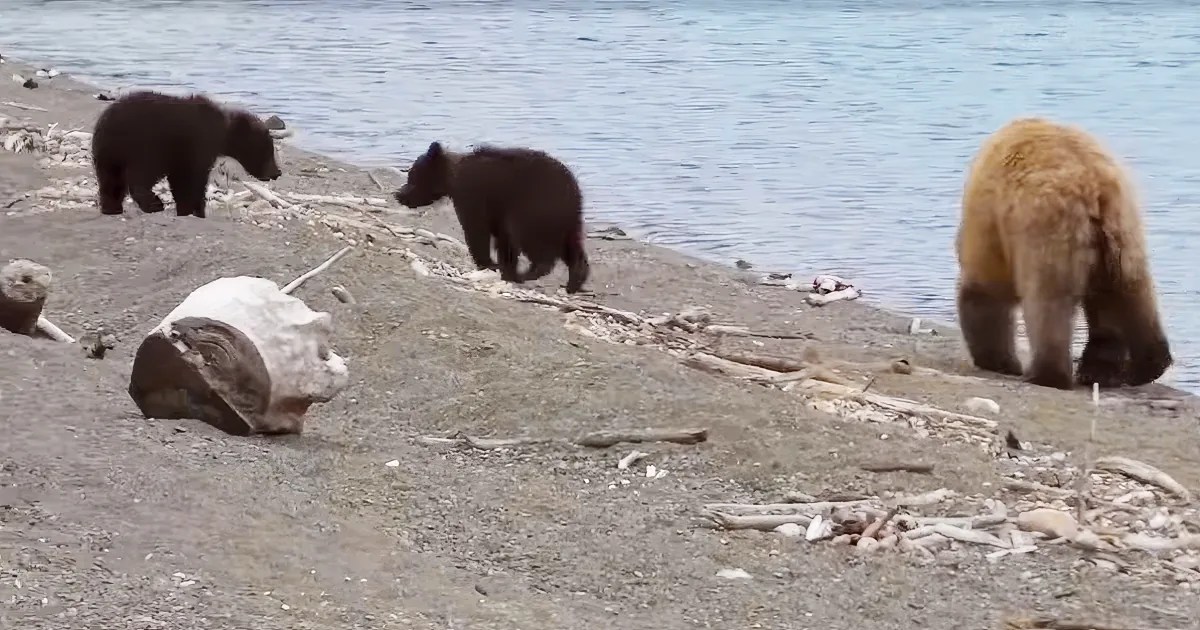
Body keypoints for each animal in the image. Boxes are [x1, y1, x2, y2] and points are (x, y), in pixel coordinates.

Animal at [90, 90, 282, 219]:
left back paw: (111, 208)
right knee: (141, 174)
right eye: (267, 150)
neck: (222, 133)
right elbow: (192, 179)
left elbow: (181, 181)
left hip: (107, 152)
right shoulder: (196, 145)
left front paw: (188, 209)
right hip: (145, 143)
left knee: (110, 180)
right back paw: (153, 204)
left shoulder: (183, 155)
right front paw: (196, 210)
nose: (277, 172)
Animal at [392, 141, 591, 294]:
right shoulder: (496, 209)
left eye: (412, 176)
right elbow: (503, 241)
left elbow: (477, 230)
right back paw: (574, 282)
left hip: (536, 207)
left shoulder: (474, 196)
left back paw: (528, 274)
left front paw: (489, 264)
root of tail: (573, 189)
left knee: (532, 240)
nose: (398, 195)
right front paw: (504, 268)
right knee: (572, 247)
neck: (452, 178)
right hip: (567, 218)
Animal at [955, 116, 1172, 391]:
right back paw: (1140, 367)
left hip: (1048, 231)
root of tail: (1095, 187)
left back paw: (1046, 374)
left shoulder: (990, 224)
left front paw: (1000, 361)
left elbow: (987, 289)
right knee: (1132, 290)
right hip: (1124, 232)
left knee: (1048, 304)